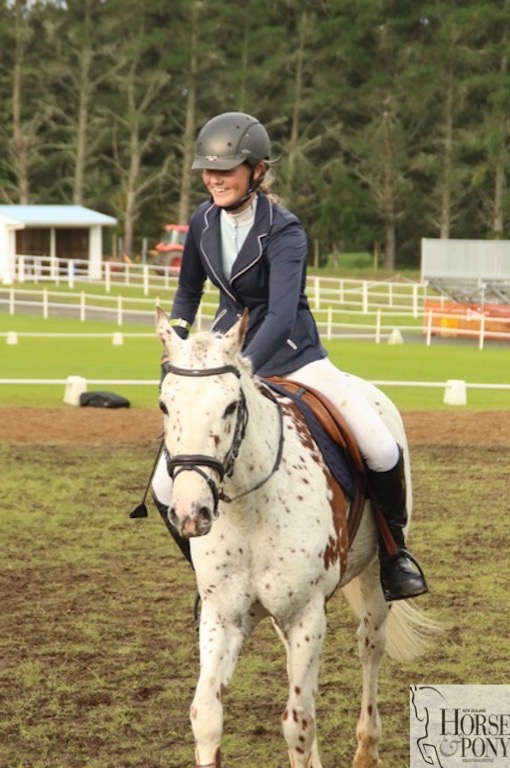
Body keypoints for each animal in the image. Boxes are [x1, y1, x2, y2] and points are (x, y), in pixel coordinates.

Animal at [155, 308, 438, 768]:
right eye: (165, 405)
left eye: (231, 406)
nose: (190, 512)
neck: (249, 510)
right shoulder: (224, 617)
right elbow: (207, 715)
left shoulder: (306, 613)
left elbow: (297, 724)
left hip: (372, 578)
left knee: (369, 645)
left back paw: (367, 748)